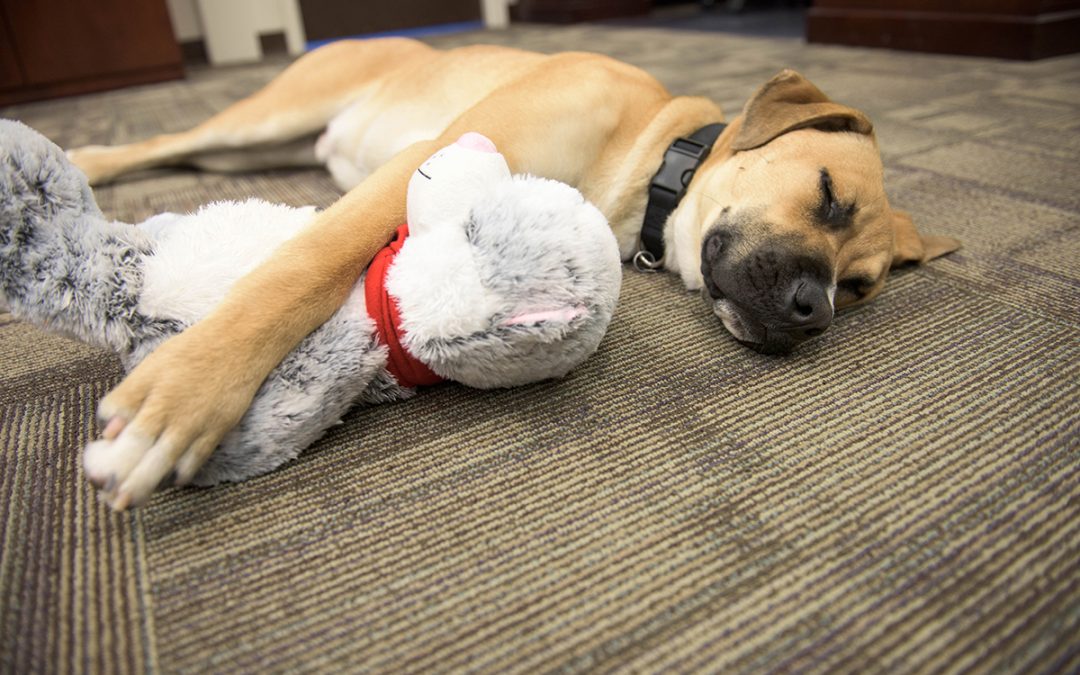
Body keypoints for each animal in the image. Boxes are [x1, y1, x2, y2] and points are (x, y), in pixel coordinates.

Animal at [63, 39, 959, 507]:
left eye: (860, 287)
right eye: (829, 194)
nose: (814, 310)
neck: (651, 155)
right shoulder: (421, 163)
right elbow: (308, 266)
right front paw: (188, 390)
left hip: (259, 147)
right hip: (267, 117)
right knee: (163, 143)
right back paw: (84, 156)